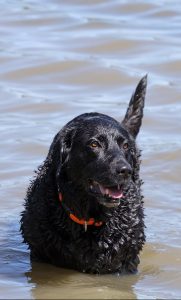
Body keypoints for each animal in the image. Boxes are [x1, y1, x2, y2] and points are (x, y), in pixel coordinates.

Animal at [20, 76, 147, 276]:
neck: (88, 218)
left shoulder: (126, 262)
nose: (125, 170)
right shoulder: (39, 254)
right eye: (94, 144)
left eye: (125, 146)